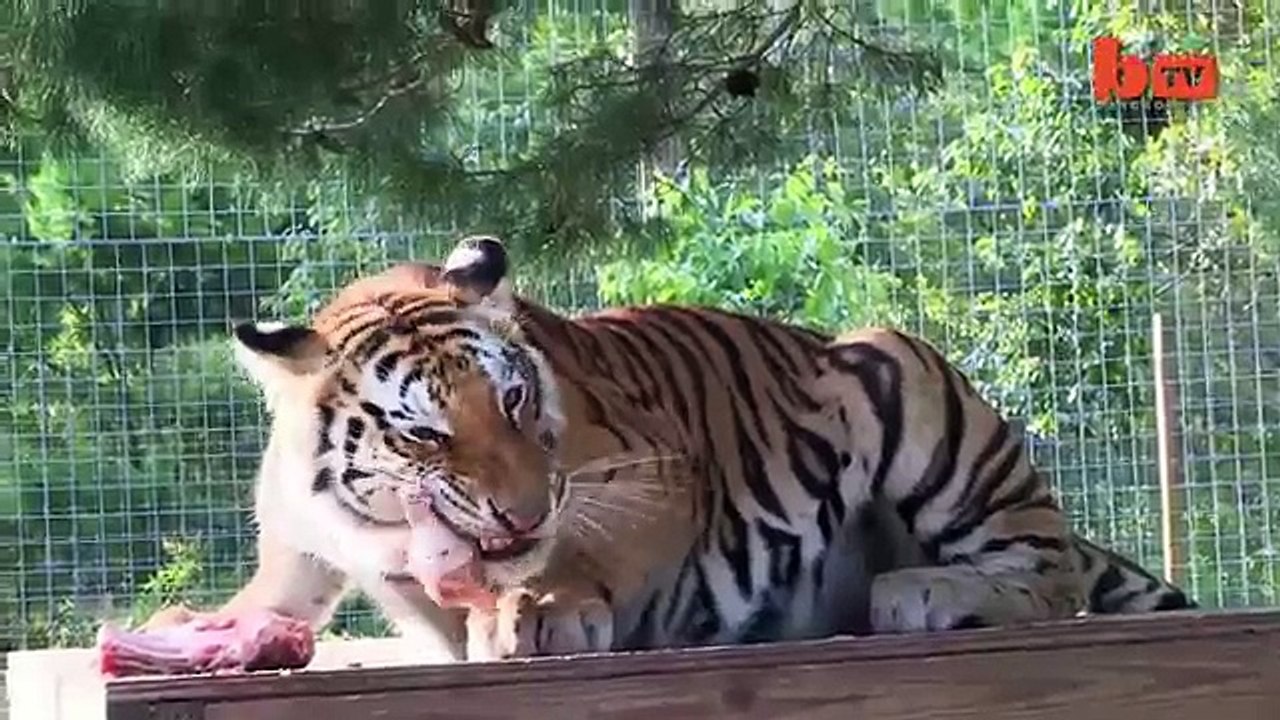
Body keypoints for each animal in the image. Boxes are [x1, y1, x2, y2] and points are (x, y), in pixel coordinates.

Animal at [143, 235, 1194, 662]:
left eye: (515, 399)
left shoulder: (647, 471)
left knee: (1050, 568)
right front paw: (205, 628)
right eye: (425, 432)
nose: (524, 509)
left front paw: (540, 609)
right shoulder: (307, 537)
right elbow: (276, 591)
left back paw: (924, 592)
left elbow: (584, 549)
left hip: (896, 368)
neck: (385, 537)